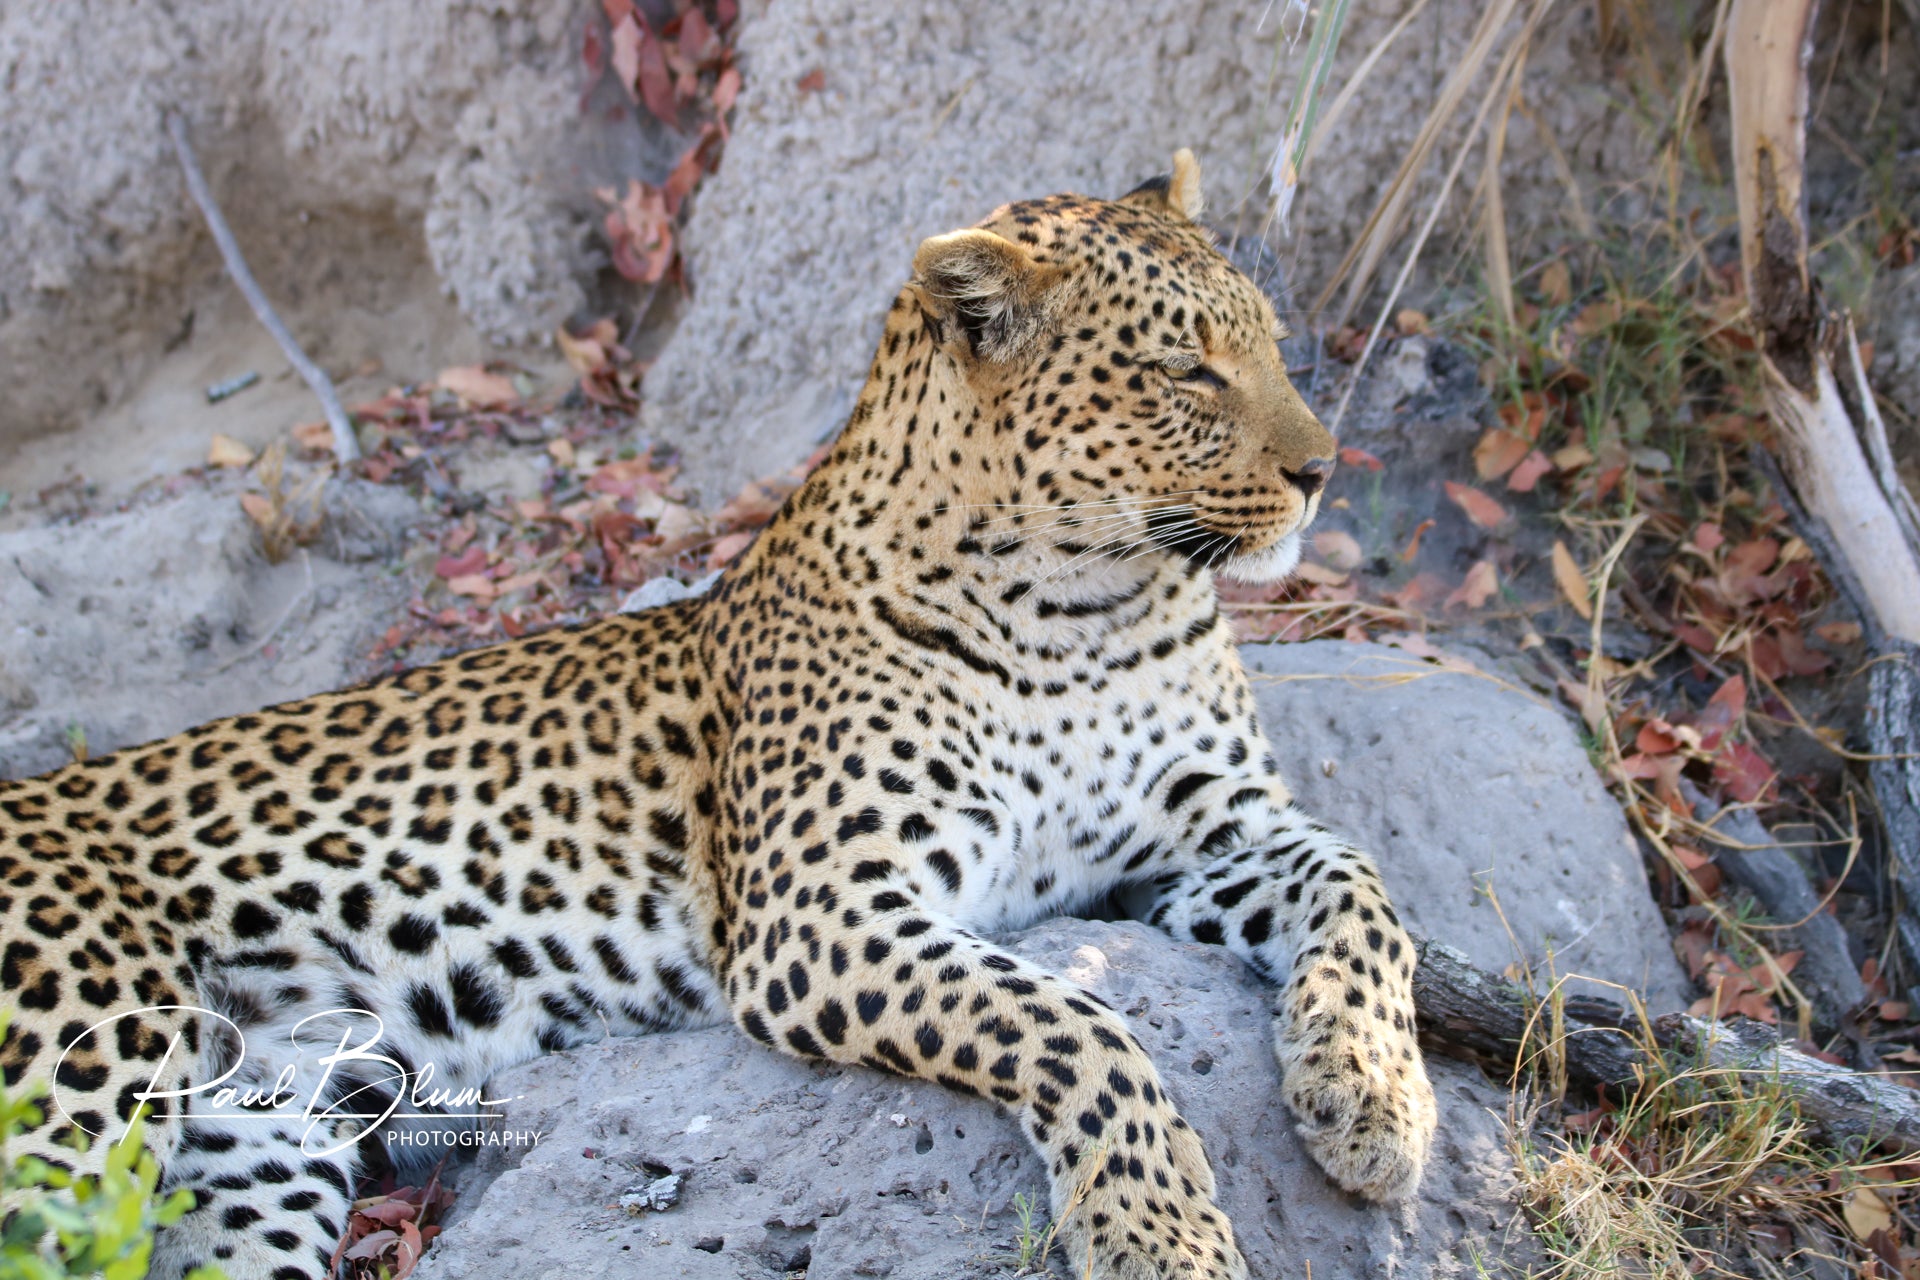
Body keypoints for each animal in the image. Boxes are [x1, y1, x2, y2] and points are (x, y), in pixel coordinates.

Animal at [0, 152, 1436, 1280]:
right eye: (1189, 372)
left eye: (1270, 343)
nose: (1323, 471)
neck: (1093, 613)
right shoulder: (827, 918)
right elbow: (1081, 1028)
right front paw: (1158, 1229)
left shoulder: (1207, 838)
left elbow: (1364, 884)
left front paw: (1373, 1099)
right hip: (84, 1068)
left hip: (256, 1131)